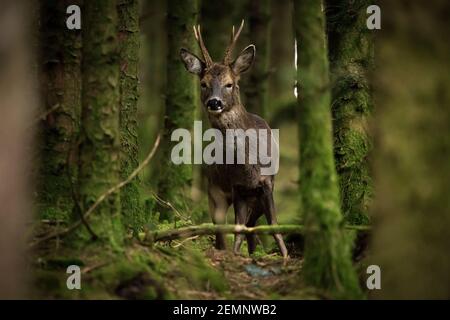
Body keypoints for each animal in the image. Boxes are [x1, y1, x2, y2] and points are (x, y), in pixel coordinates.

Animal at [180, 20, 288, 258]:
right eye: (203, 83)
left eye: (229, 83)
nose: (214, 102)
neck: (249, 167)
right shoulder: (236, 186)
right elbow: (237, 230)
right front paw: (235, 256)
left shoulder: (267, 184)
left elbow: (274, 226)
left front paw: (285, 255)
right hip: (214, 190)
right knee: (223, 230)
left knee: (252, 227)